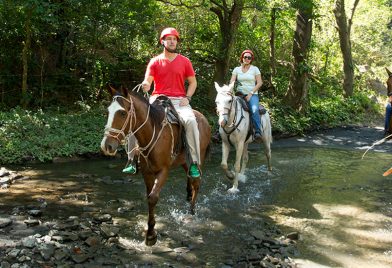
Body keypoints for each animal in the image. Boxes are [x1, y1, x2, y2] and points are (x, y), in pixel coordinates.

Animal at [101, 86, 211, 245]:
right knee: (190, 178)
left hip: (198, 157)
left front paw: (151, 235)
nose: (106, 146)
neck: (151, 132)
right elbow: (149, 198)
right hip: (185, 161)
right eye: (108, 111)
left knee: (196, 183)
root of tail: (204, 118)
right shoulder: (147, 172)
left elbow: (153, 197)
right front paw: (150, 231)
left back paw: (191, 213)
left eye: (122, 113)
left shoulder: (163, 171)